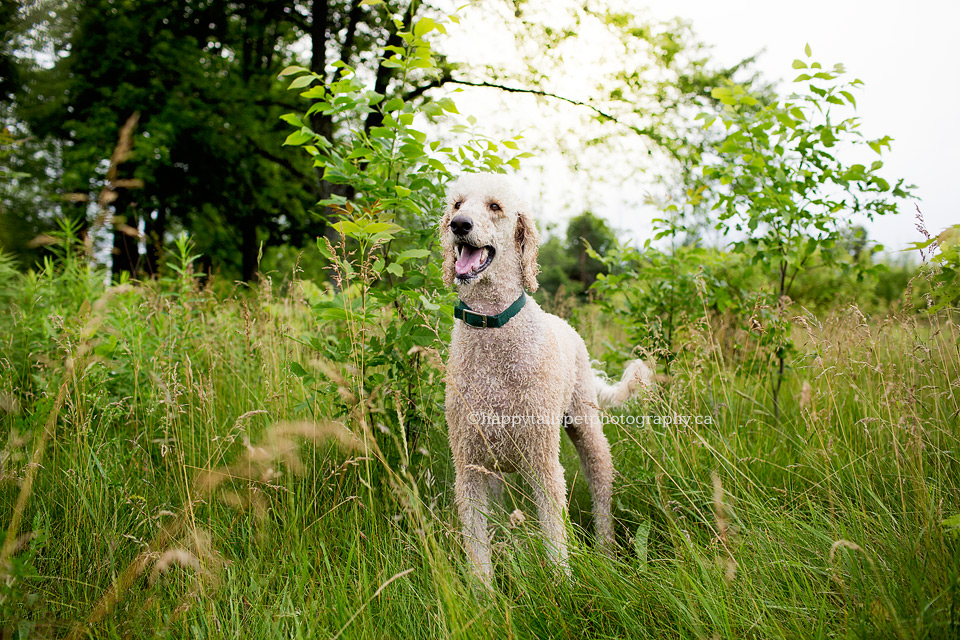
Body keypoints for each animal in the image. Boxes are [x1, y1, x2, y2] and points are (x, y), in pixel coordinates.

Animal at [440, 174, 652, 584]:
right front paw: (482, 597)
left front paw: (562, 585)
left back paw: (606, 554)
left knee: (601, 490)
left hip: (586, 428)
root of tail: (567, 326)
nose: (460, 225)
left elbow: (555, 536)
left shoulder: (543, 462)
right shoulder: (469, 466)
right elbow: (478, 551)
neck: (493, 327)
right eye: (457, 205)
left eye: (495, 206)